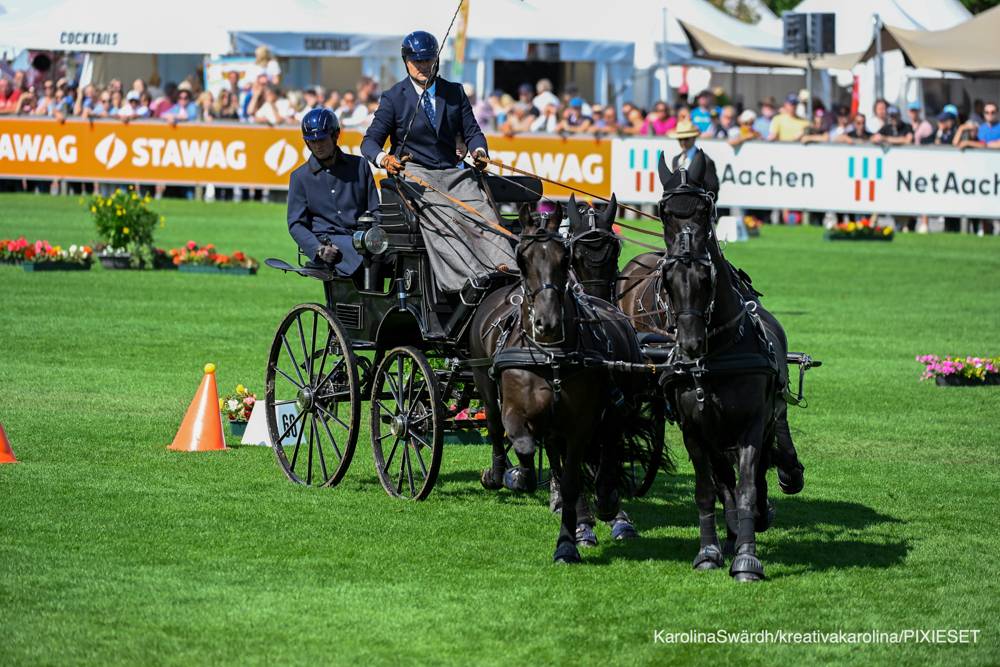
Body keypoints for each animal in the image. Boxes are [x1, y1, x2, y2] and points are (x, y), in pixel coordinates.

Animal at [468, 204, 647, 563]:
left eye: (564, 259)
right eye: (522, 258)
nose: (546, 322)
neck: (550, 354)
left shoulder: (581, 422)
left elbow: (574, 478)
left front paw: (570, 539)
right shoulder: (518, 411)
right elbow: (523, 443)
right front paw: (520, 477)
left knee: (608, 447)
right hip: (484, 383)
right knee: (495, 427)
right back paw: (499, 474)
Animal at [653, 151, 802, 582]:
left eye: (706, 207)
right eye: (665, 210)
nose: (687, 250)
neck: (714, 352)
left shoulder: (752, 424)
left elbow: (750, 486)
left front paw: (747, 559)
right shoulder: (695, 429)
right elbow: (708, 490)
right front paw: (709, 551)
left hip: (768, 416)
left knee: (767, 460)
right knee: (724, 481)